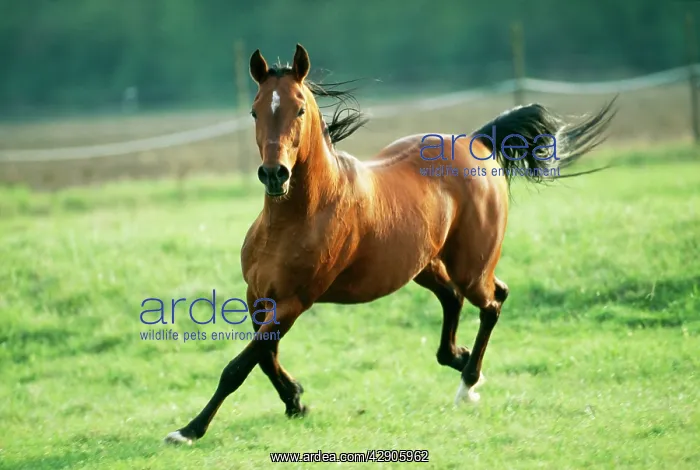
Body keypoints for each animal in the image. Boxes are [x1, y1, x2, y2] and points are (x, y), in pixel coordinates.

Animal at [165, 44, 615, 445]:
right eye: (255, 110)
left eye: (299, 109)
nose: (274, 174)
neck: (297, 217)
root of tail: (477, 140)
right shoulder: (258, 296)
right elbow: (265, 358)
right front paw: (296, 401)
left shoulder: (295, 301)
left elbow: (240, 366)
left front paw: (188, 431)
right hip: (423, 266)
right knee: (454, 299)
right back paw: (458, 358)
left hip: (471, 267)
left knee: (492, 301)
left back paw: (468, 383)